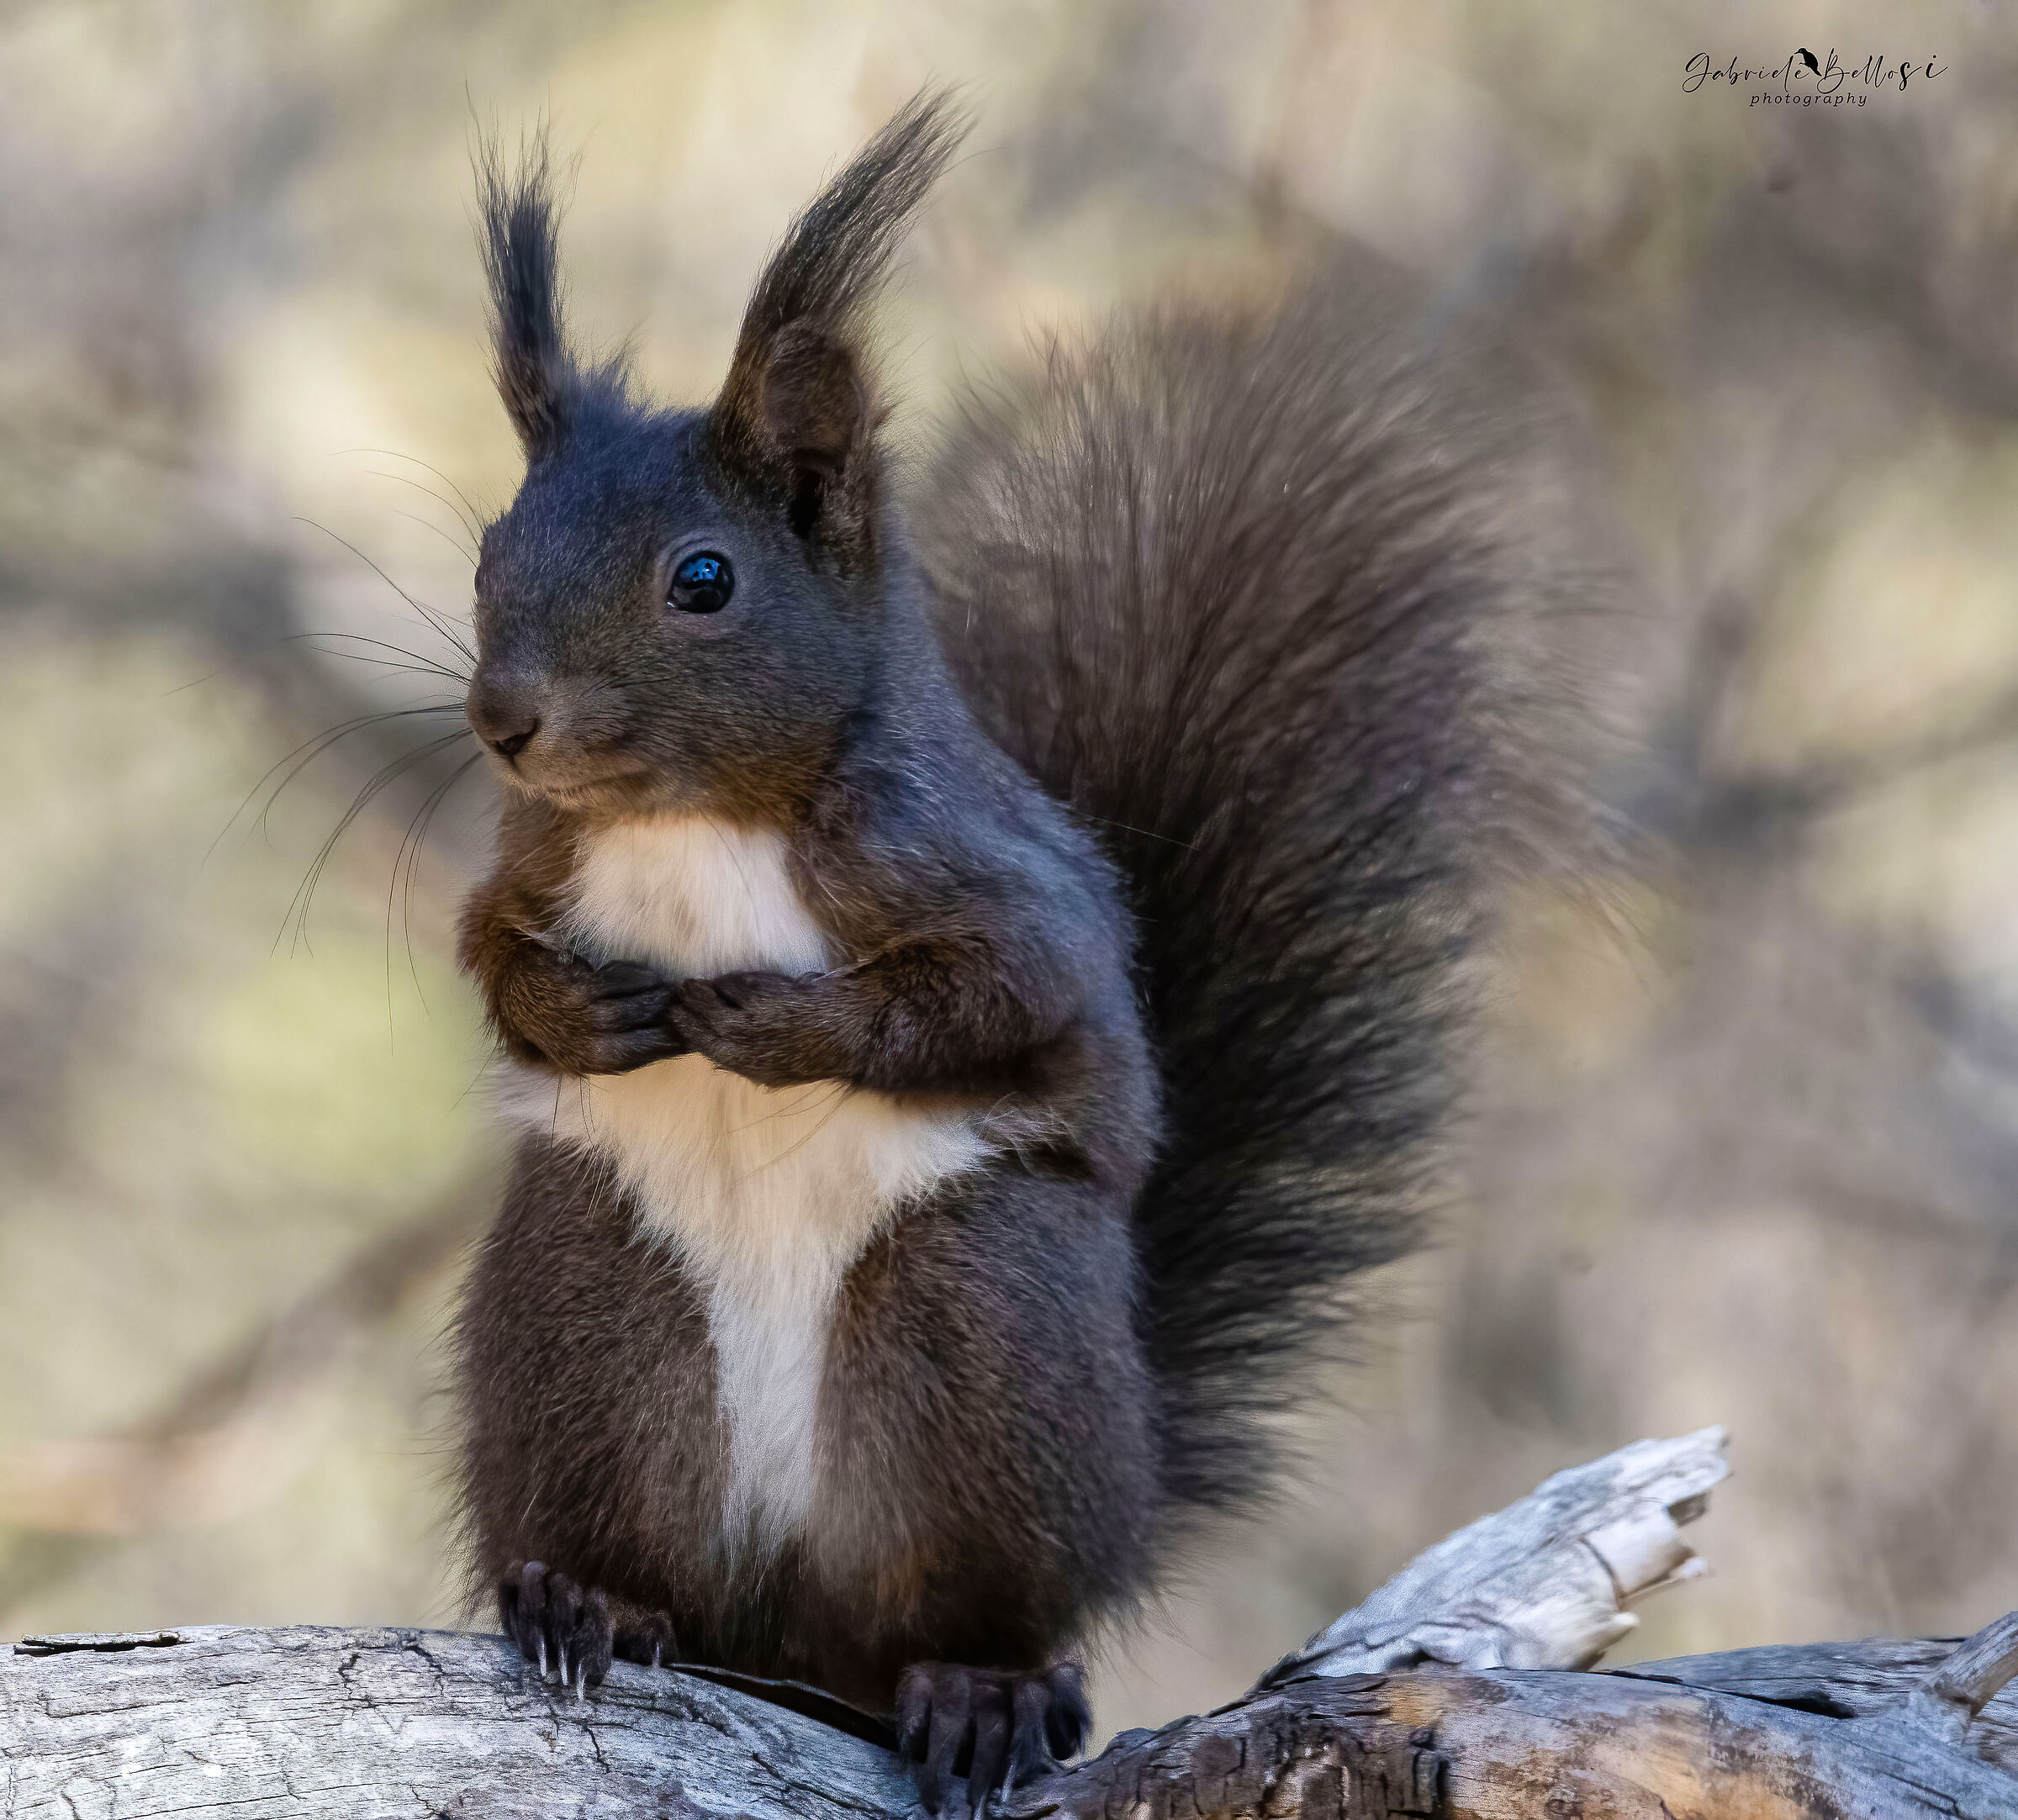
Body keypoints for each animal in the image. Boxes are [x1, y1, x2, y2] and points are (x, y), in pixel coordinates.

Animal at [451, 92, 1593, 1815]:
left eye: (704, 578)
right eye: (485, 553)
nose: (504, 720)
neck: (689, 822)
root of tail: (789, 1624)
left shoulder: (977, 879)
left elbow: (993, 1001)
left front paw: (774, 1025)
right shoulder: (533, 859)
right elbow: (486, 955)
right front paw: (581, 1013)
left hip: (979, 1328)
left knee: (972, 1610)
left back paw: (985, 1692)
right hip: (588, 1317)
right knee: (633, 1555)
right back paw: (589, 1599)